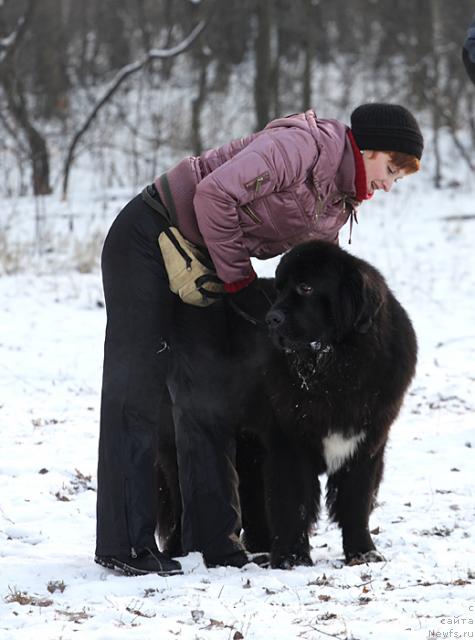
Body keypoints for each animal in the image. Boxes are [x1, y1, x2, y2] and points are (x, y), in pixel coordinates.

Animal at [157, 241, 416, 568]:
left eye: (306, 287)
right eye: (279, 290)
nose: (272, 319)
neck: (335, 370)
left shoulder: (366, 443)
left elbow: (356, 501)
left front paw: (362, 552)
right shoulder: (289, 443)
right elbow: (294, 502)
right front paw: (292, 557)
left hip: (250, 445)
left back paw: (260, 545)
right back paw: (182, 551)